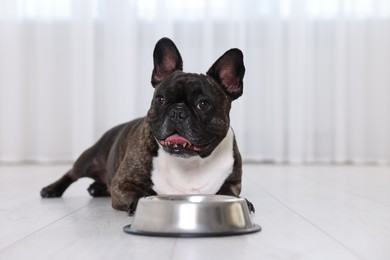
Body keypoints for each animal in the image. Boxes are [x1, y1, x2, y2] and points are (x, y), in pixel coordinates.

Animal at [39, 37, 253, 214]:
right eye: (160, 99)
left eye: (203, 104)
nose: (177, 111)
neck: (189, 163)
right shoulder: (122, 183)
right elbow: (139, 193)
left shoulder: (233, 182)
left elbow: (229, 194)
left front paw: (245, 202)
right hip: (88, 159)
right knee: (71, 173)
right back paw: (51, 189)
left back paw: (95, 188)